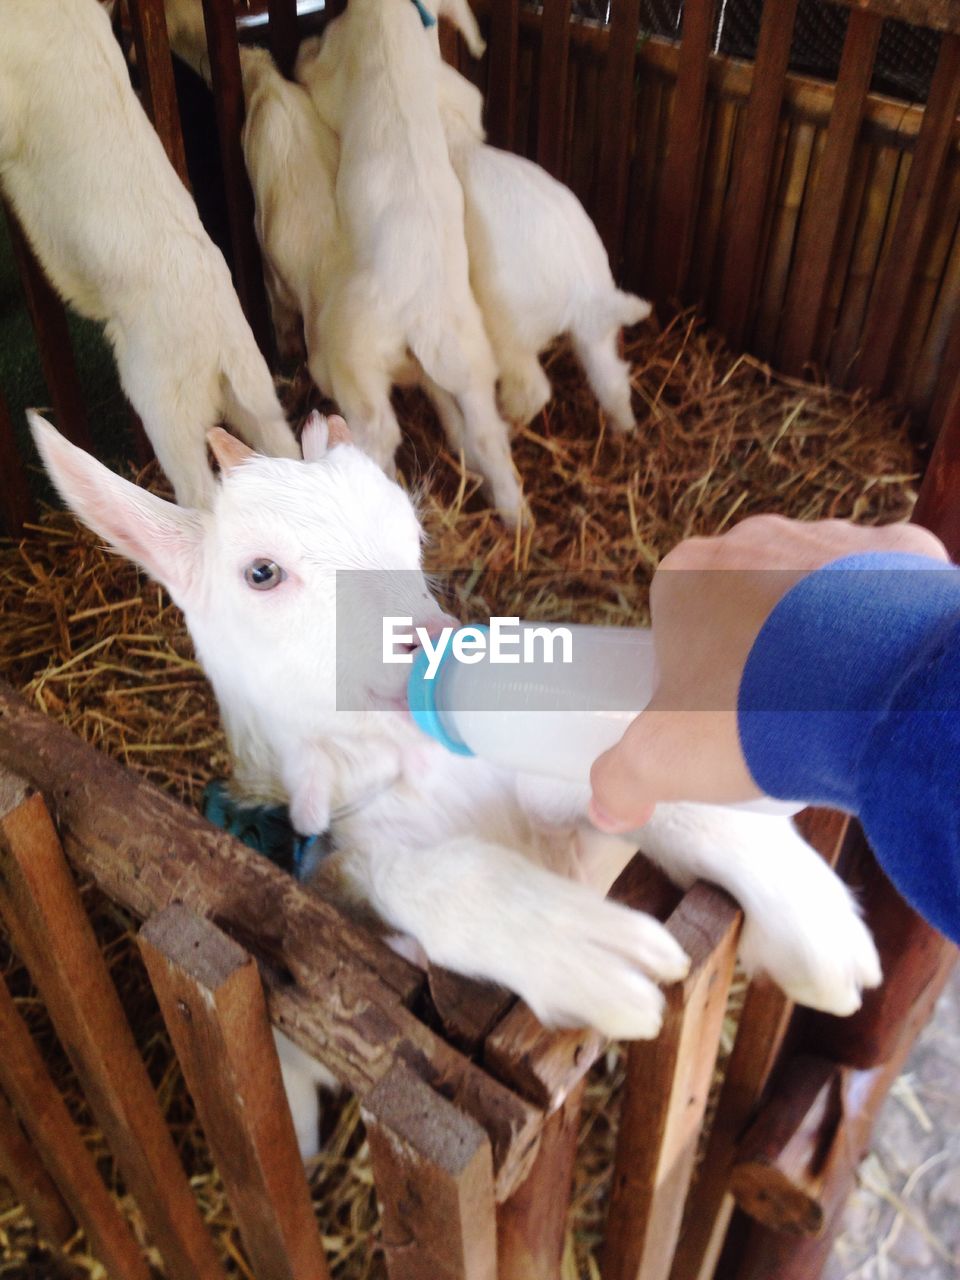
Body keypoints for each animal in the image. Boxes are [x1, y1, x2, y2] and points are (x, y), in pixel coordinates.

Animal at [33, 412, 885, 1162]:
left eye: (409, 533)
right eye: (261, 573)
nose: (432, 640)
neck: (417, 769)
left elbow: (638, 783)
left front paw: (814, 927)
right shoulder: (337, 872)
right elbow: (403, 885)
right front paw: (578, 948)